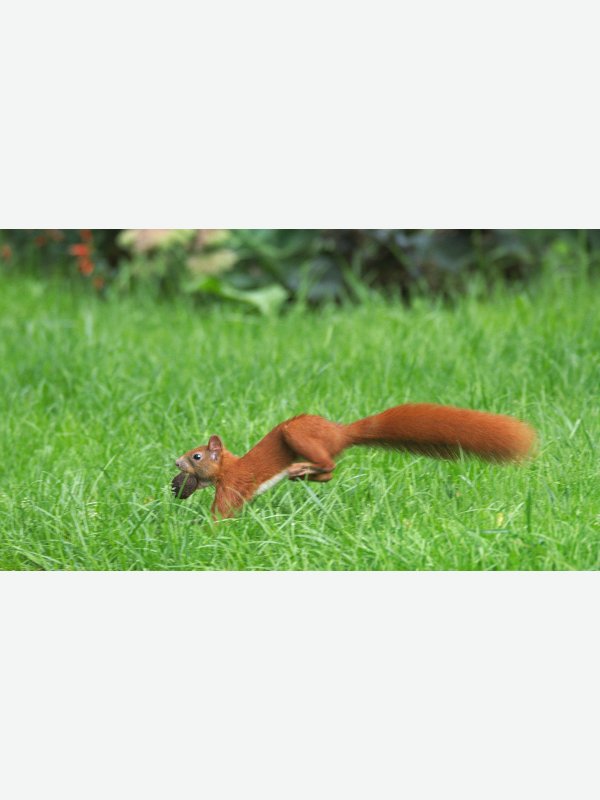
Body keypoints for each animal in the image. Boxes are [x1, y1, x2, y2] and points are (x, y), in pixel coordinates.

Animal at [172, 403, 536, 520]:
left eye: (196, 455)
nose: (176, 463)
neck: (229, 466)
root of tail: (340, 432)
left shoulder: (232, 485)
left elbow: (222, 511)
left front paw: (205, 529)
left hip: (297, 434)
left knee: (329, 466)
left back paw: (301, 469)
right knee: (328, 473)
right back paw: (301, 474)